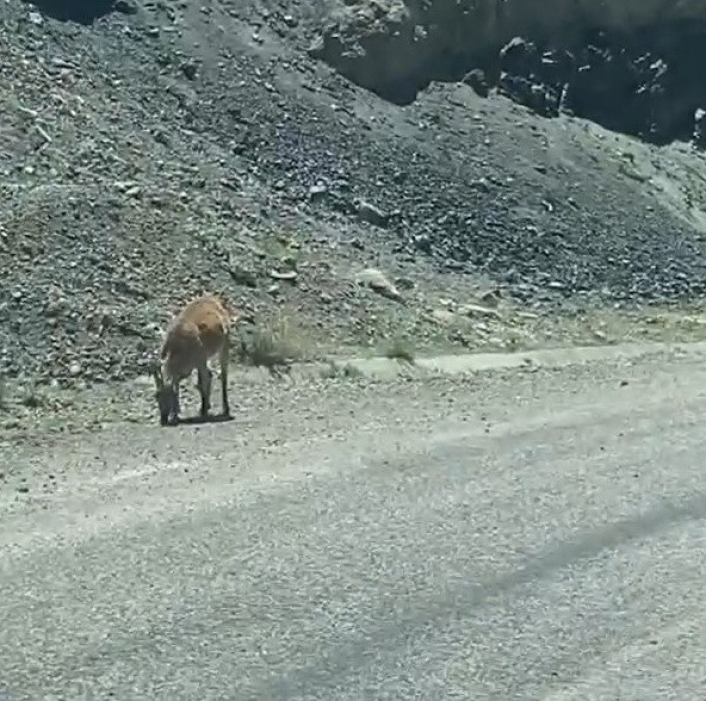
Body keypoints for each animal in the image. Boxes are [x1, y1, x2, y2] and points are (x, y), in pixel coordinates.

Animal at [146, 292, 250, 424]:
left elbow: (204, 381)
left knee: (223, 375)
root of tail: (216, 300)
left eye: (168, 395)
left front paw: (203, 410)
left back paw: (224, 409)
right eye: (156, 395)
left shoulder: (199, 360)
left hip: (224, 344)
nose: (163, 418)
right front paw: (176, 414)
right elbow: (182, 383)